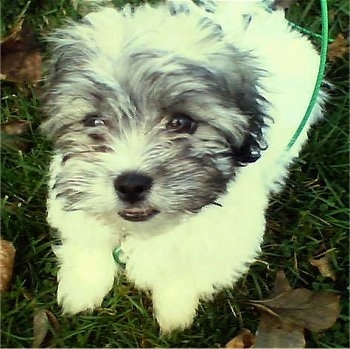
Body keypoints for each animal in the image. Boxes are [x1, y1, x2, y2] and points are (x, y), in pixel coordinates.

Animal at [41, 0, 326, 332]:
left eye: (182, 122)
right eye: (94, 121)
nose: (131, 184)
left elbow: (186, 273)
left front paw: (174, 311)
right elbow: (88, 243)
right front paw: (82, 288)